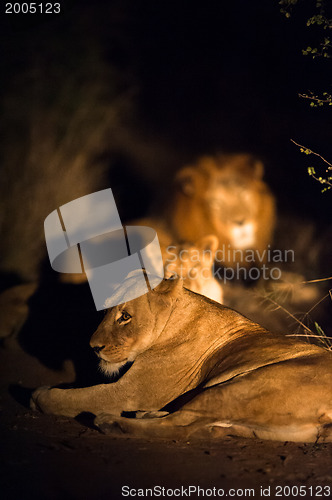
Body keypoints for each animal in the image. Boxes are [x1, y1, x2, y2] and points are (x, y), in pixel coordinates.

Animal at [31, 278, 332, 442]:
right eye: (105, 312)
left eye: (125, 316)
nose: (94, 347)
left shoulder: (130, 391)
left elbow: (79, 397)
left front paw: (41, 396)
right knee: (203, 425)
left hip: (241, 386)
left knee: (181, 426)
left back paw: (112, 422)